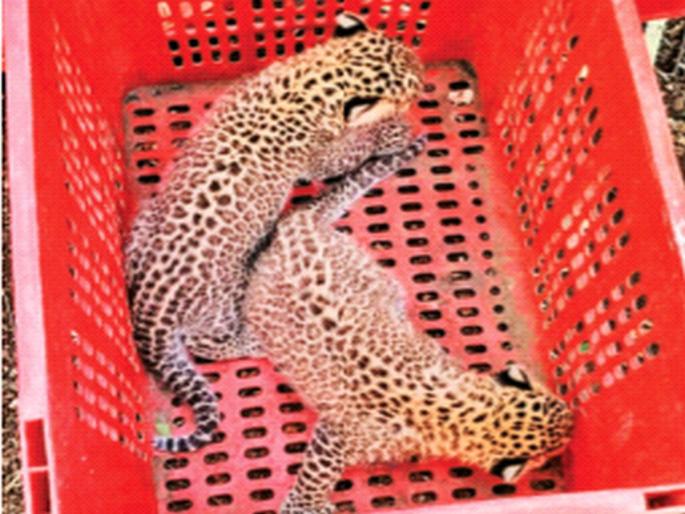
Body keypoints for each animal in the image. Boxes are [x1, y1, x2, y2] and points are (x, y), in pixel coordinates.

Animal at [124, 12, 423, 453]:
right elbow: (354, 148)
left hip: (142, 227)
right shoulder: (322, 159)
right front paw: (390, 132)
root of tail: (148, 314)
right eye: (411, 85)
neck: (311, 78)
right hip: (227, 295)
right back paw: (251, 342)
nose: (424, 76)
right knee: (205, 344)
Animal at [244, 138, 575, 514]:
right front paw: (303, 505)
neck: (467, 410)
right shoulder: (339, 436)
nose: (573, 421)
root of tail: (296, 227)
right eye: (556, 449)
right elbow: (317, 470)